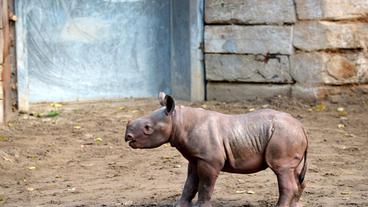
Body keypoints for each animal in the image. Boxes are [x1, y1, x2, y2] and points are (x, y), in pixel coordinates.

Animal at [125, 92, 310, 207]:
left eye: (147, 128)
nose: (128, 137)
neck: (178, 120)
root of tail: (301, 126)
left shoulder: (209, 159)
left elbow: (206, 183)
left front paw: (201, 206)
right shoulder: (196, 157)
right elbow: (190, 182)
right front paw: (178, 205)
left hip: (284, 134)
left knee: (281, 170)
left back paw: (279, 206)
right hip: (288, 134)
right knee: (293, 172)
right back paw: (297, 205)